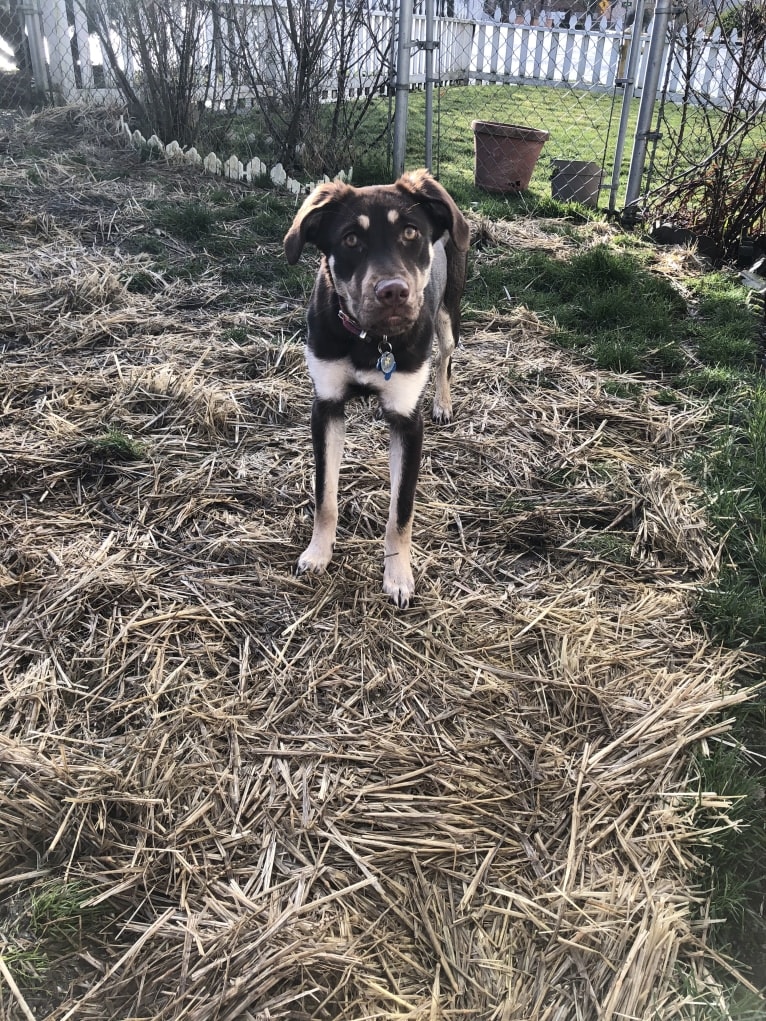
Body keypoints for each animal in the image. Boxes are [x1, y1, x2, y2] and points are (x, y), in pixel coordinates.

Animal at [285, 167, 471, 604]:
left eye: (411, 232)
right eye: (351, 239)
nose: (393, 292)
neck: (371, 339)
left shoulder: (407, 419)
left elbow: (401, 510)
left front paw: (398, 575)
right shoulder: (326, 406)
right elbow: (325, 495)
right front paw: (318, 553)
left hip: (448, 314)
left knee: (445, 359)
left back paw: (443, 403)